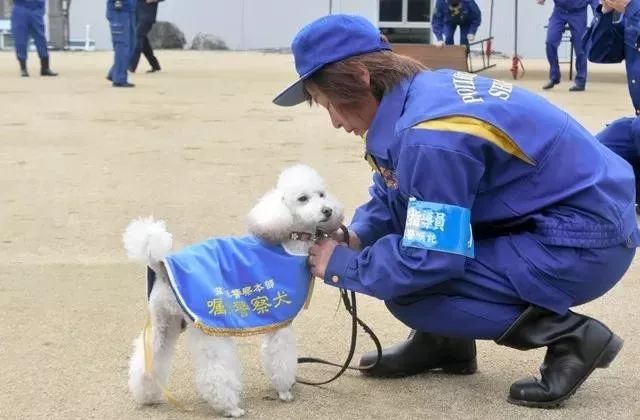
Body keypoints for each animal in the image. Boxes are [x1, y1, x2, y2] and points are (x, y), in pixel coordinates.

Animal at [124, 164, 344, 416]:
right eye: (303, 198)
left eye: (322, 194)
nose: (327, 210)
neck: (291, 242)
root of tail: (160, 264)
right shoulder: (281, 325)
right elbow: (281, 360)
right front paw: (284, 391)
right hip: (209, 326)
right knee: (215, 372)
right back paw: (230, 407)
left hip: (164, 322)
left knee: (149, 358)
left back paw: (147, 396)